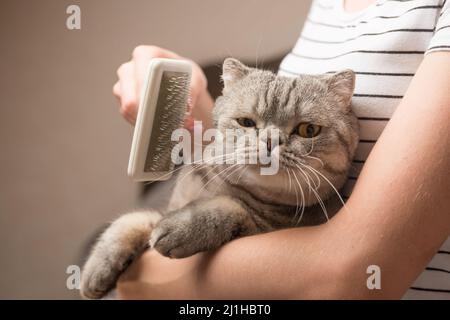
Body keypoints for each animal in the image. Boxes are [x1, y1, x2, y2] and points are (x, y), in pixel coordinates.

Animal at [81, 58, 360, 300]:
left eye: (308, 130)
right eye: (246, 122)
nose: (270, 141)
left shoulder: (259, 228)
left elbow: (230, 208)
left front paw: (184, 225)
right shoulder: (167, 207)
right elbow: (132, 220)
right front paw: (98, 265)